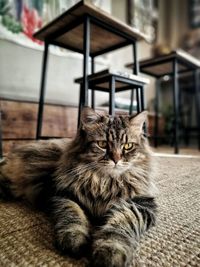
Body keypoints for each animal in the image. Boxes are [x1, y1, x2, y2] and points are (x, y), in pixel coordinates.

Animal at [0, 107, 156, 267]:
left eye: (127, 146)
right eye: (102, 144)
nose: (116, 160)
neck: (104, 182)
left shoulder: (139, 204)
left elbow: (119, 226)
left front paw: (110, 253)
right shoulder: (64, 195)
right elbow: (73, 216)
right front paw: (74, 240)